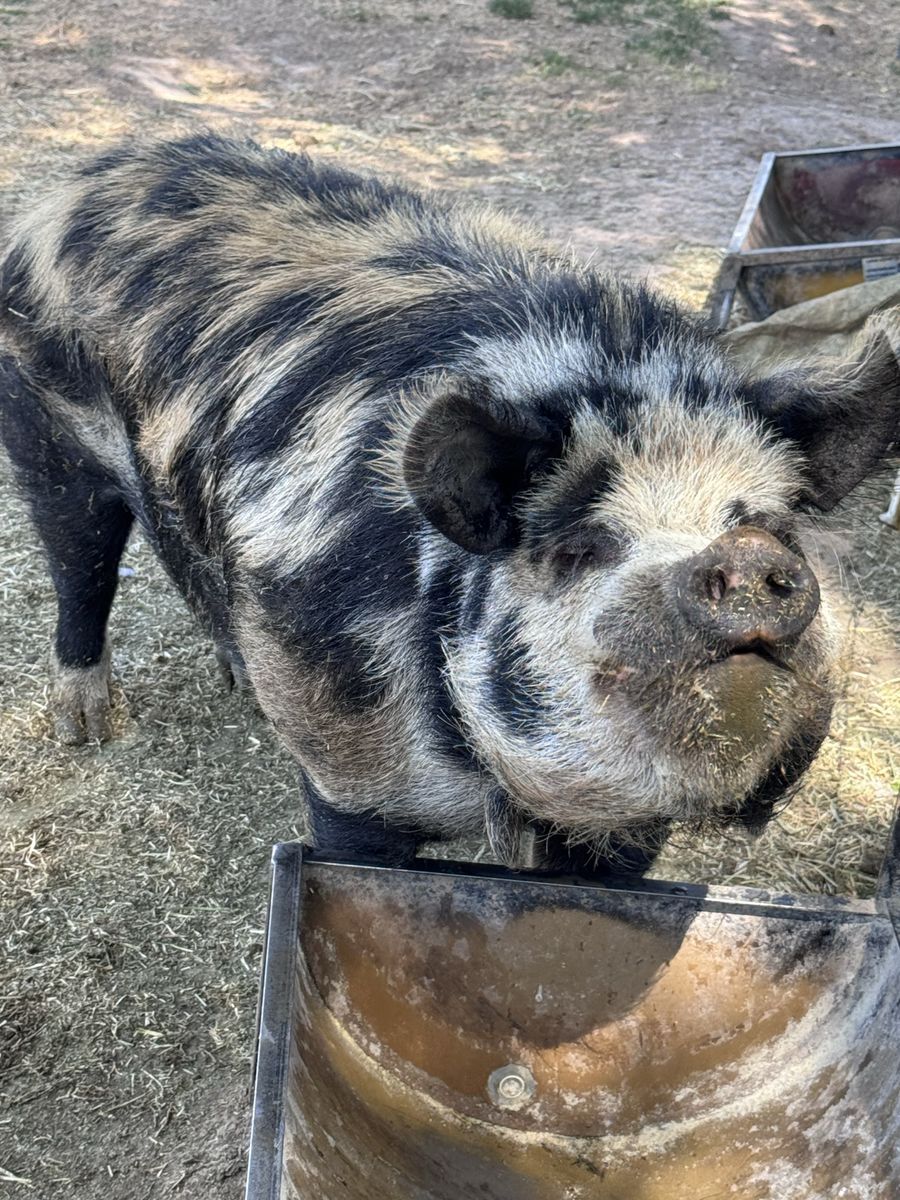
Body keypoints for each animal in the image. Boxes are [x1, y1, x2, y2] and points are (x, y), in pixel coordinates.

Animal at [1, 134, 897, 875]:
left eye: (771, 524)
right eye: (578, 545)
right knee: (81, 561)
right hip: (45, 429)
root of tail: (79, 179)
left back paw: (233, 676)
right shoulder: (351, 765)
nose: (746, 557)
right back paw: (88, 725)